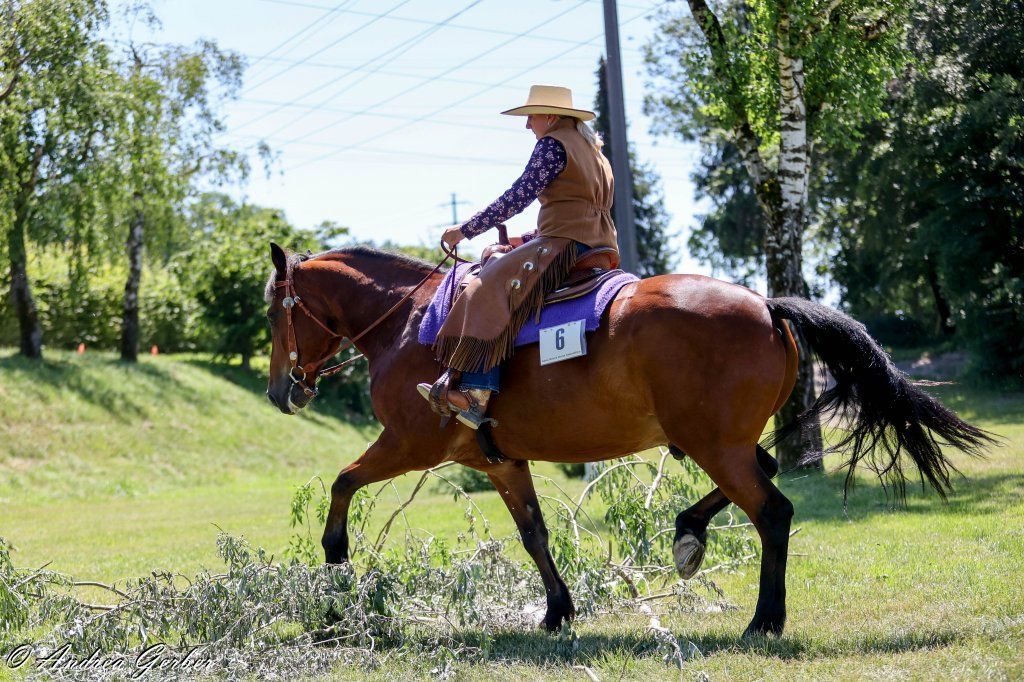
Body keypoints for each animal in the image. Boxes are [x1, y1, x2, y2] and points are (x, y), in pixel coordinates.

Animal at [263, 242, 992, 636]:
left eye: (274, 310)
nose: (279, 393)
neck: (412, 323)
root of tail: (764, 302)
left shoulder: (410, 446)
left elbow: (342, 486)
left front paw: (336, 572)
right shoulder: (496, 461)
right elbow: (534, 534)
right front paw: (558, 612)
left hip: (715, 447)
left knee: (773, 511)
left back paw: (764, 618)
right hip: (718, 443)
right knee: (764, 475)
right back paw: (689, 535)